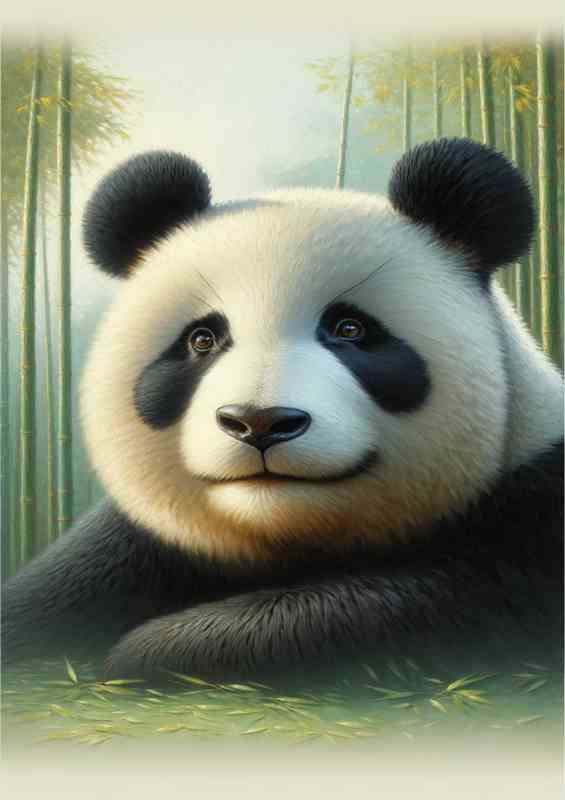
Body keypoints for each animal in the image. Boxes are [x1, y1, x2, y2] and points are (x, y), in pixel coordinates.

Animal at [3, 137, 563, 684]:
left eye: (350, 329)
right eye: (202, 338)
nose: (259, 422)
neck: (280, 533)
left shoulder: (530, 523)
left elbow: (422, 606)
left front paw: (157, 649)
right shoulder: (131, 548)